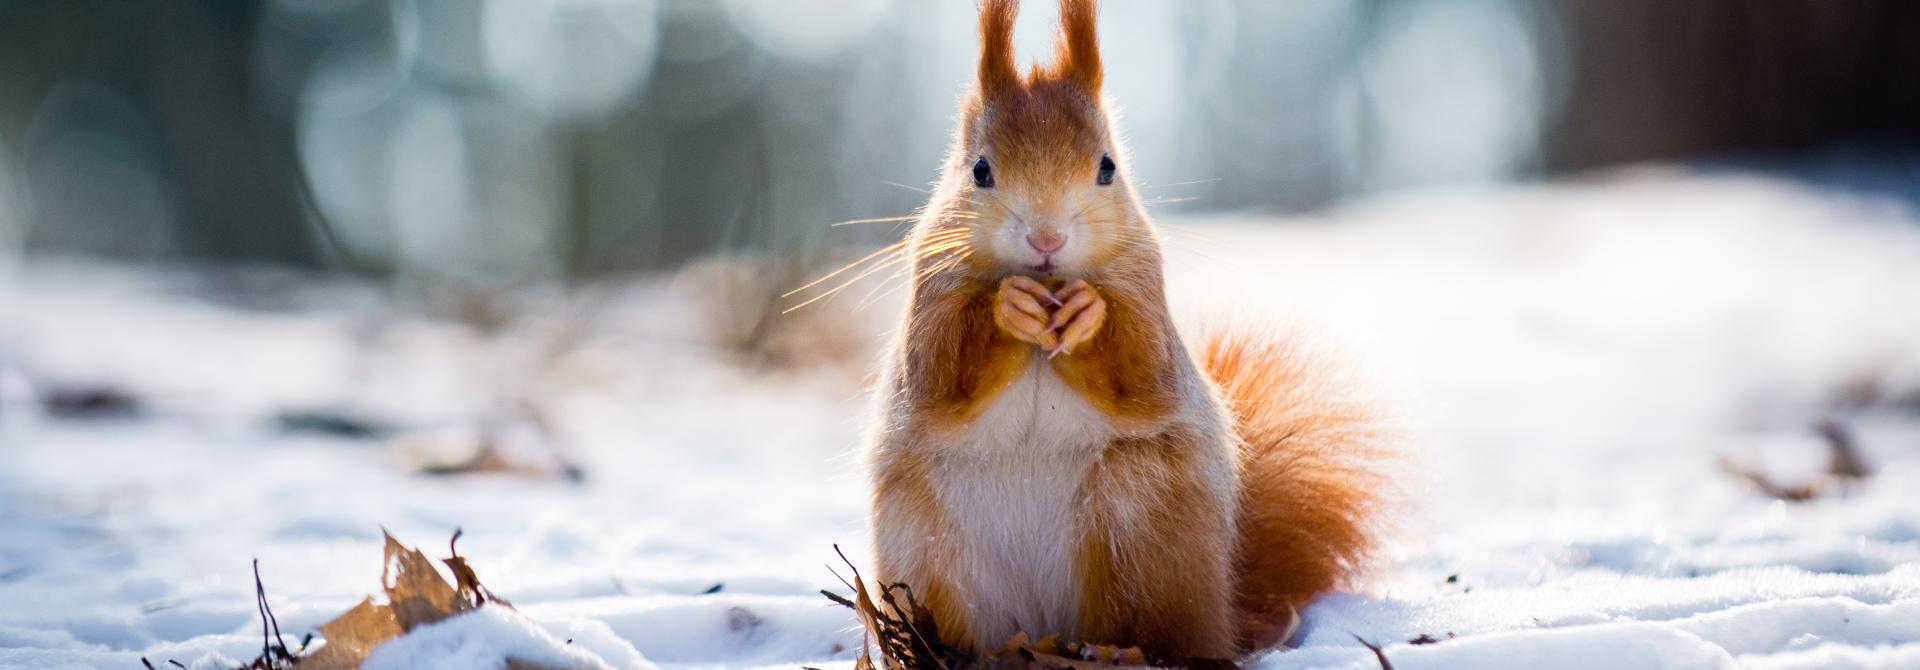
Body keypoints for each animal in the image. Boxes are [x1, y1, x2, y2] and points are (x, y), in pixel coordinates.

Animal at [866, 0, 1387, 661]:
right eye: (979, 170)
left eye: (1108, 167)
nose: (1046, 239)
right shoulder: (931, 293)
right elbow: (939, 373)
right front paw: (1008, 307)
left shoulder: (1147, 294)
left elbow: (1141, 371)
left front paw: (1089, 314)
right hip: (927, 551)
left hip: (1141, 525)